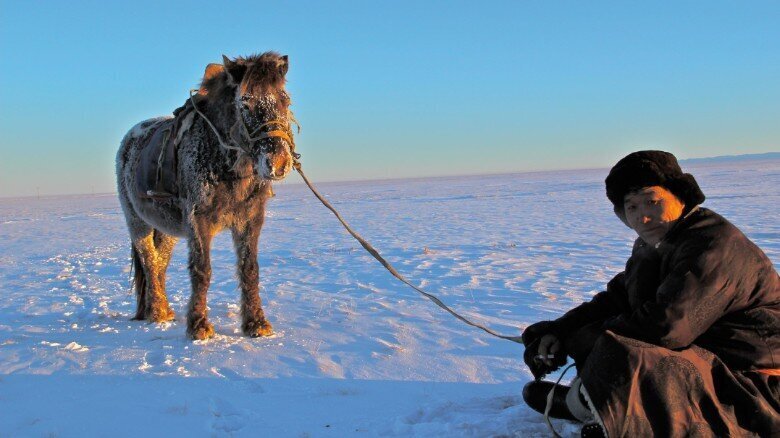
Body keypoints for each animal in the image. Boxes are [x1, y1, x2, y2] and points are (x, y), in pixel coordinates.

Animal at [116, 51, 296, 338]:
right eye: (245, 104)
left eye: (285, 100)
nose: (278, 162)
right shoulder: (197, 219)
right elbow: (202, 269)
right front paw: (199, 326)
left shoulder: (250, 219)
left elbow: (249, 268)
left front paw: (256, 323)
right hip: (136, 221)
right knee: (149, 261)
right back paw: (157, 312)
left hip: (167, 228)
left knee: (160, 261)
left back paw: (164, 310)